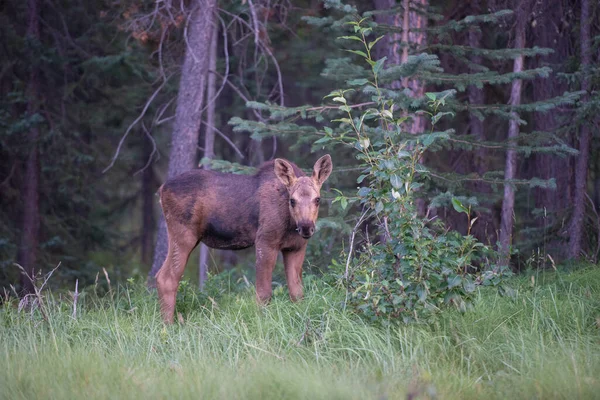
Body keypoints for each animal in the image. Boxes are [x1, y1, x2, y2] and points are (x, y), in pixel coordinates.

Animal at [155, 155, 332, 324]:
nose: (306, 227)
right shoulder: (265, 241)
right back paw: (168, 326)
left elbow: (297, 293)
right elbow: (263, 293)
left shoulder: (295, 247)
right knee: (167, 278)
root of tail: (161, 189)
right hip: (183, 236)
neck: (290, 223)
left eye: (317, 199)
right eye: (292, 200)